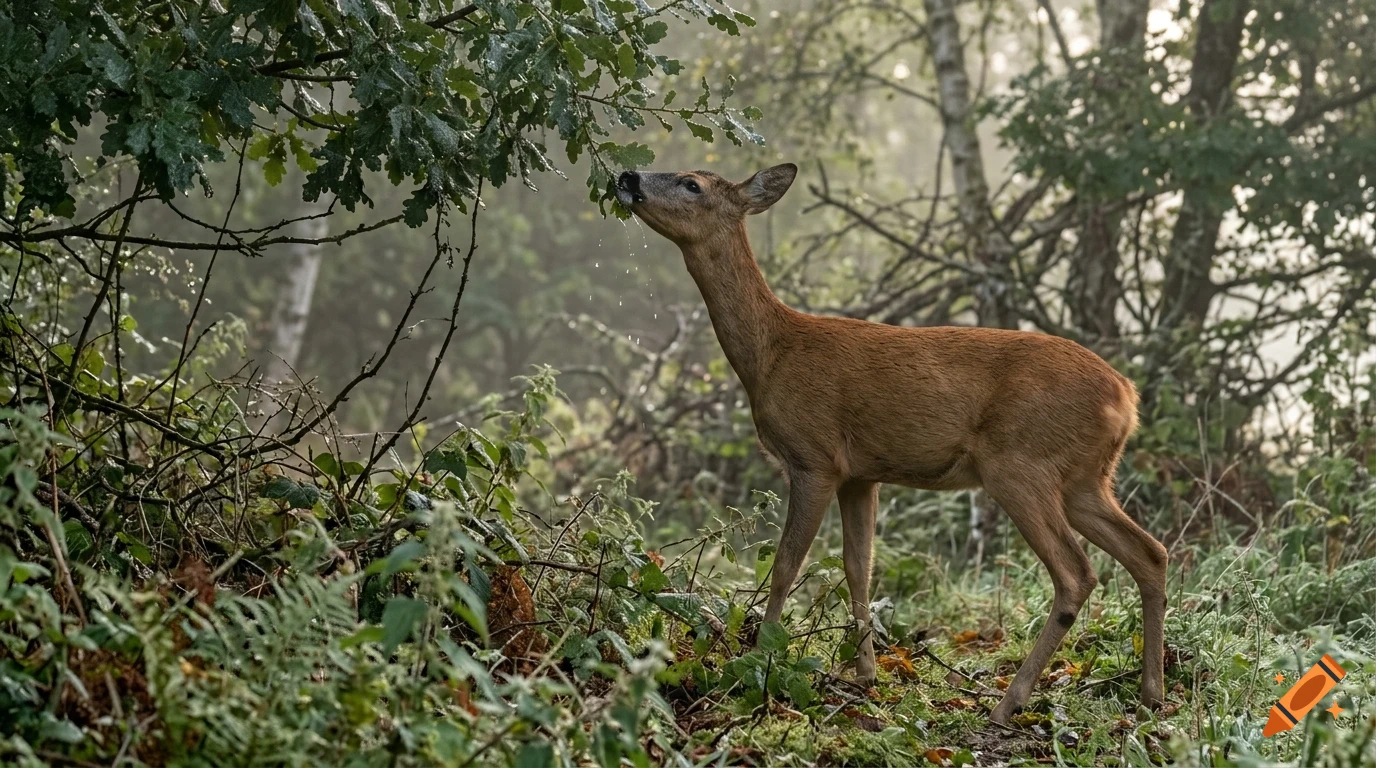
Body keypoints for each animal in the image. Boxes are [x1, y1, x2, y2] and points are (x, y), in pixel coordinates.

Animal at [615, 163, 1168, 723]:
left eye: (692, 184)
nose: (628, 175)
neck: (772, 353)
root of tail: (1126, 396)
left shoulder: (814, 457)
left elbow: (787, 565)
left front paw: (757, 660)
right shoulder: (860, 474)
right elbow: (859, 567)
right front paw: (865, 675)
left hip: (1020, 464)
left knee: (1077, 573)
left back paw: (1008, 702)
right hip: (1085, 478)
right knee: (1150, 552)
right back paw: (1151, 694)